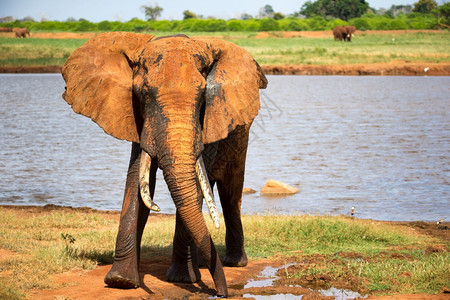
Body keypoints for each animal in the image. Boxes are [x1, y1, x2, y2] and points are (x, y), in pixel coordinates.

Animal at [62, 31, 268, 296]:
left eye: (203, 96)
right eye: (143, 93)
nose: (221, 293)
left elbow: (193, 184)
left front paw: (182, 279)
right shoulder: (138, 118)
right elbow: (137, 180)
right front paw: (121, 281)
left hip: (240, 135)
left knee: (230, 192)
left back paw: (234, 262)